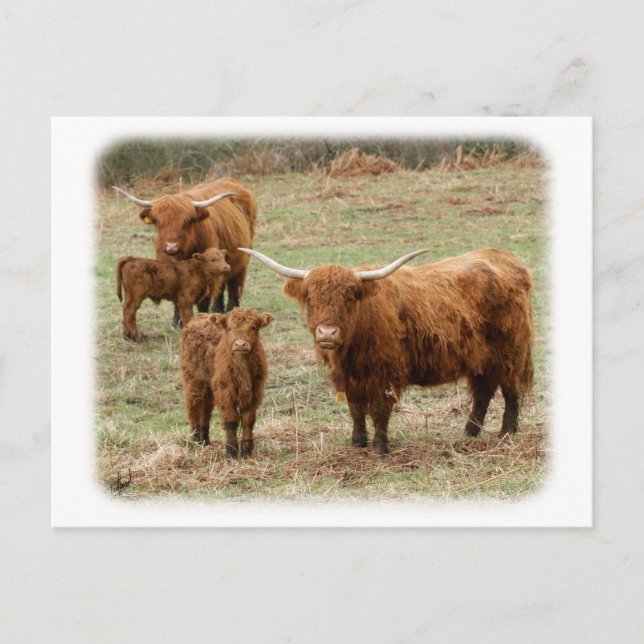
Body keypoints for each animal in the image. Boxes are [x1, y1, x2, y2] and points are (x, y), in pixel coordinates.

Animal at [113, 178, 257, 321]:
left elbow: (204, 300)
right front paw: (177, 321)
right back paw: (218, 310)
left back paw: (233, 310)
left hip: (242, 259)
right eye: (158, 221)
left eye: (186, 221)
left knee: (235, 286)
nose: (171, 246)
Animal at [181, 308, 273, 457]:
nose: (240, 344)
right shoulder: (225, 391)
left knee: (206, 410)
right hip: (193, 379)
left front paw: (247, 450)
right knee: (193, 407)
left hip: (209, 386)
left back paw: (205, 441)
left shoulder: (255, 391)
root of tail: (200, 316)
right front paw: (231, 451)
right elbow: (231, 420)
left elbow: (248, 420)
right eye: (229, 328)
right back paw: (196, 441)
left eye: (253, 327)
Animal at [240, 247, 534, 455]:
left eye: (350, 297)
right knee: (483, 393)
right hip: (480, 360)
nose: (327, 333)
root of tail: (507, 258)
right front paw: (357, 444)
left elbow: (380, 412)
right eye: (310, 298)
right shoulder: (351, 380)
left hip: (510, 353)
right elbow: (356, 411)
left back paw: (506, 432)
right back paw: (469, 432)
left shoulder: (385, 375)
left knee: (510, 391)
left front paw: (380, 449)